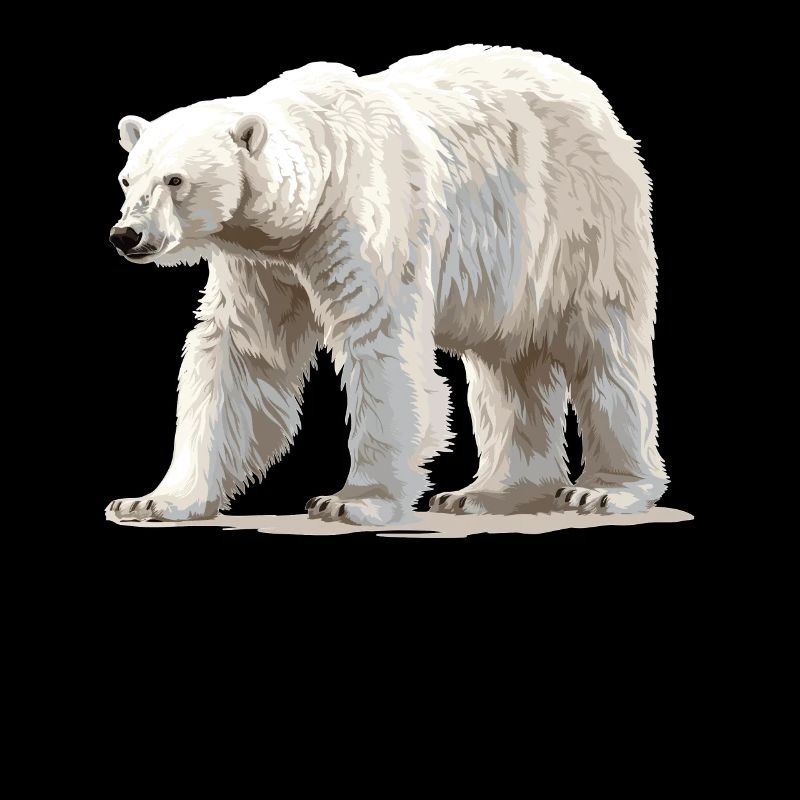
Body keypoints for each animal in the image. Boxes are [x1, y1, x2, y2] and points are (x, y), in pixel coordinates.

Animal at [106, 45, 668, 526]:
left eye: (175, 180)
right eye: (128, 179)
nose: (126, 235)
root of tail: (595, 101)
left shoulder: (364, 220)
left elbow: (380, 343)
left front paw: (351, 502)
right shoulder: (262, 264)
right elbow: (242, 353)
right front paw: (150, 501)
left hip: (578, 220)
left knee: (605, 344)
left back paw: (605, 489)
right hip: (510, 273)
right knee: (509, 364)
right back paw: (488, 493)